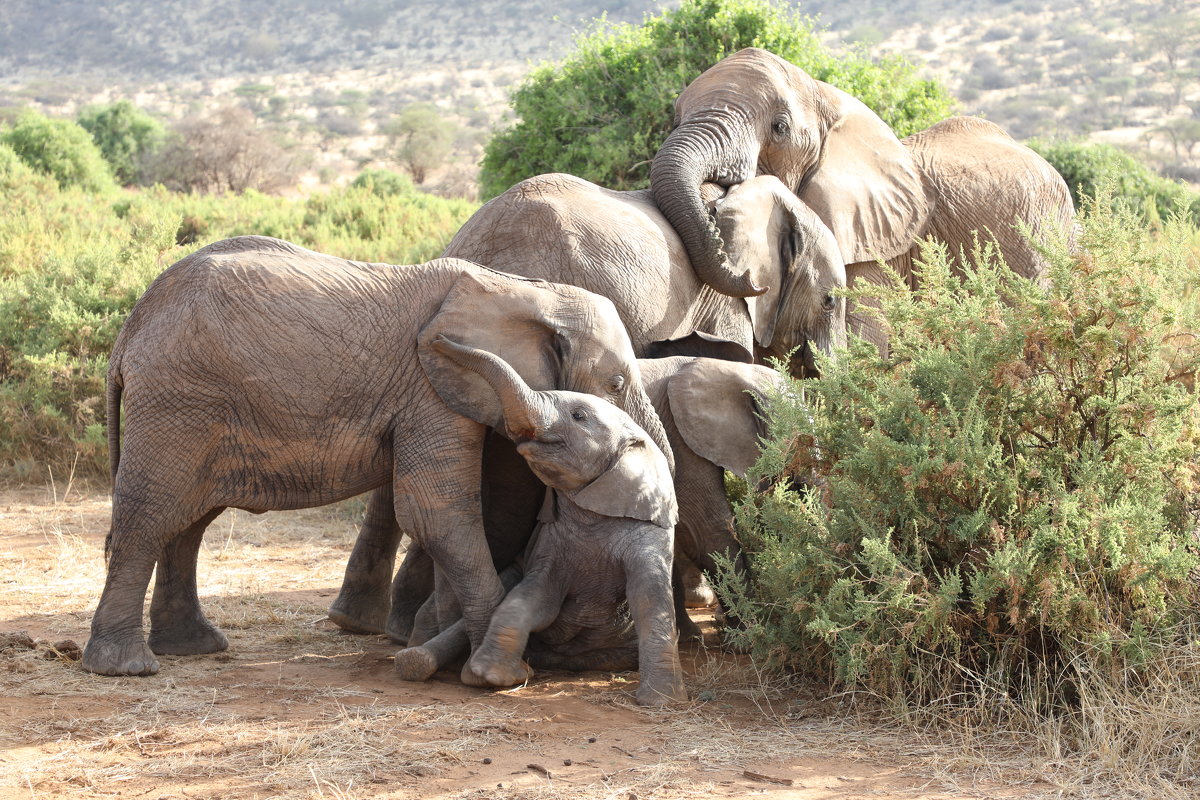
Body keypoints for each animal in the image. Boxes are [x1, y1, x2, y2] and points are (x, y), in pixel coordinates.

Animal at [400, 338, 691, 705]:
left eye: (578, 416)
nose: (436, 341)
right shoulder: (551, 543)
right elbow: (534, 597)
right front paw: (495, 677)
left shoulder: (650, 531)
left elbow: (649, 598)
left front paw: (661, 702)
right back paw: (416, 662)